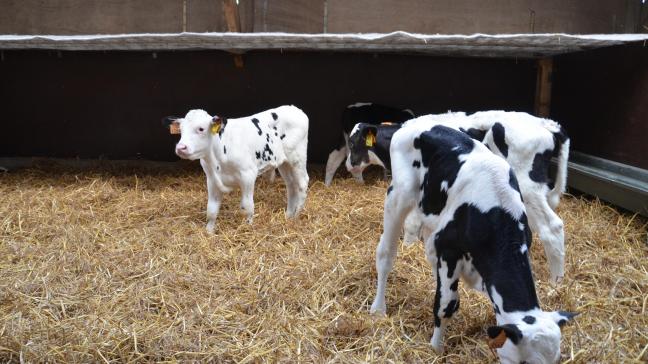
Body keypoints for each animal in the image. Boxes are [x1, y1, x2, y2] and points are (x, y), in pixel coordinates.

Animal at [166, 105, 310, 233]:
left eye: (201, 129)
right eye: (181, 129)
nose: (181, 147)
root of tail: (295, 109)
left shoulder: (248, 175)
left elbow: (247, 206)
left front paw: (248, 228)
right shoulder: (211, 179)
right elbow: (211, 209)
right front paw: (209, 232)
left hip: (297, 157)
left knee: (302, 183)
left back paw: (296, 216)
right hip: (284, 162)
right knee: (291, 185)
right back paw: (288, 215)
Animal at [370, 123, 576, 362]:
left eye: (558, 359)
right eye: (524, 362)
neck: (495, 212)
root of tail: (411, 124)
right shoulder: (449, 250)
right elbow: (446, 303)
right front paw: (436, 348)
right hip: (398, 196)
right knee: (385, 254)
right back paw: (378, 308)